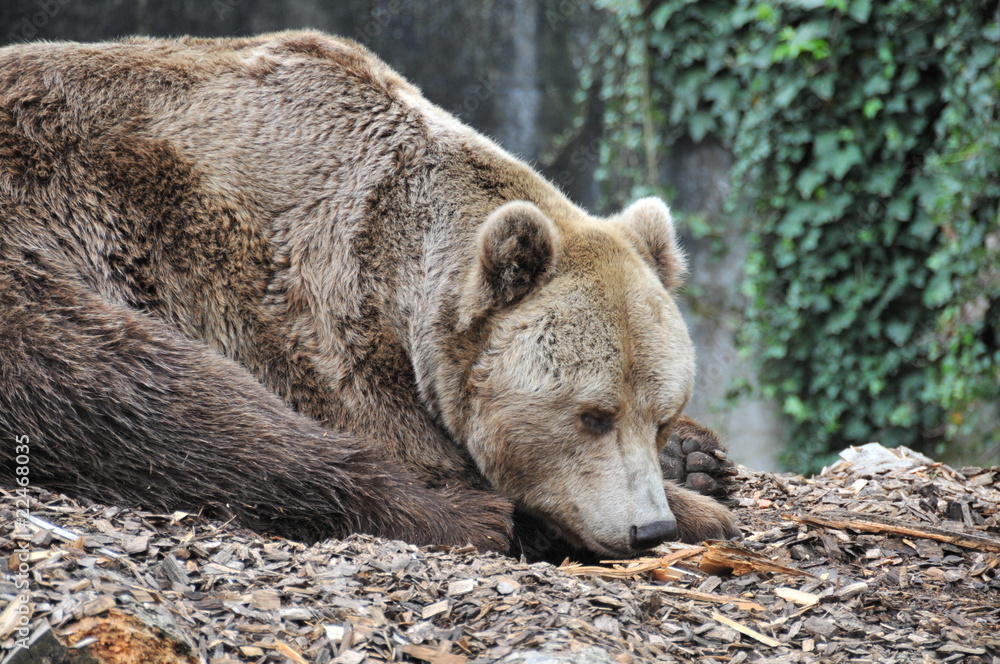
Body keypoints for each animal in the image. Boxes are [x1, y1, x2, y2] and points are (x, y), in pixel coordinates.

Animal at [0, 31, 738, 558]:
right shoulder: (299, 302)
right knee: (145, 389)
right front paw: (691, 505)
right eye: (593, 415)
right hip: (39, 250)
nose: (647, 530)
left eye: (661, 413)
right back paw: (466, 516)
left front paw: (696, 460)